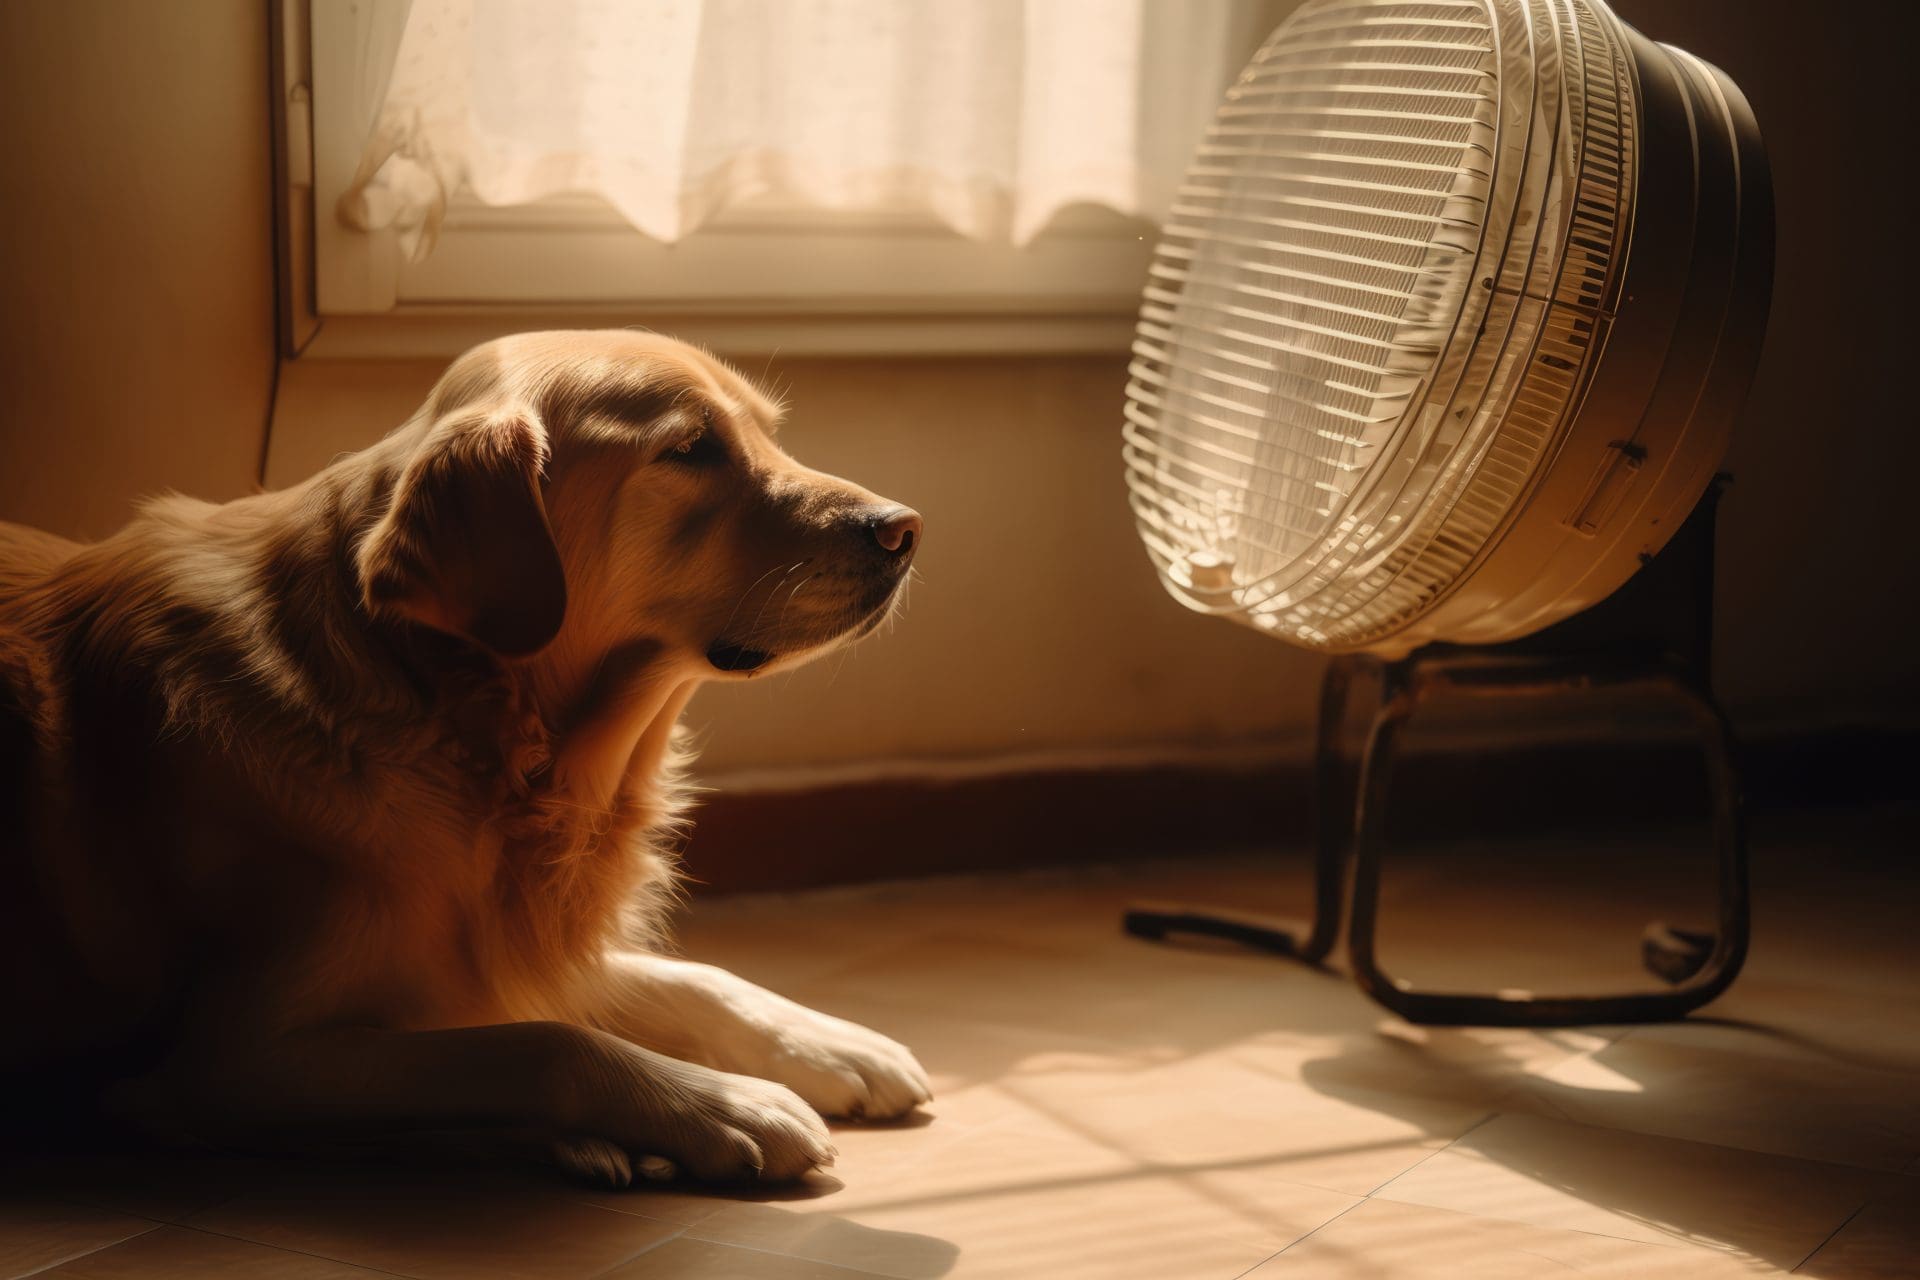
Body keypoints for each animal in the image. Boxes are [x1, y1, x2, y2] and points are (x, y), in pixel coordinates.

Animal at [0, 333, 929, 1189]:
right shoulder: (228, 1062)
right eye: (691, 449)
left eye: (769, 434)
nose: (904, 530)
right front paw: (721, 1104)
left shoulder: (494, 939)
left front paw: (830, 1043)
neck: (451, 712)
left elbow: (686, 976)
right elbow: (546, 1044)